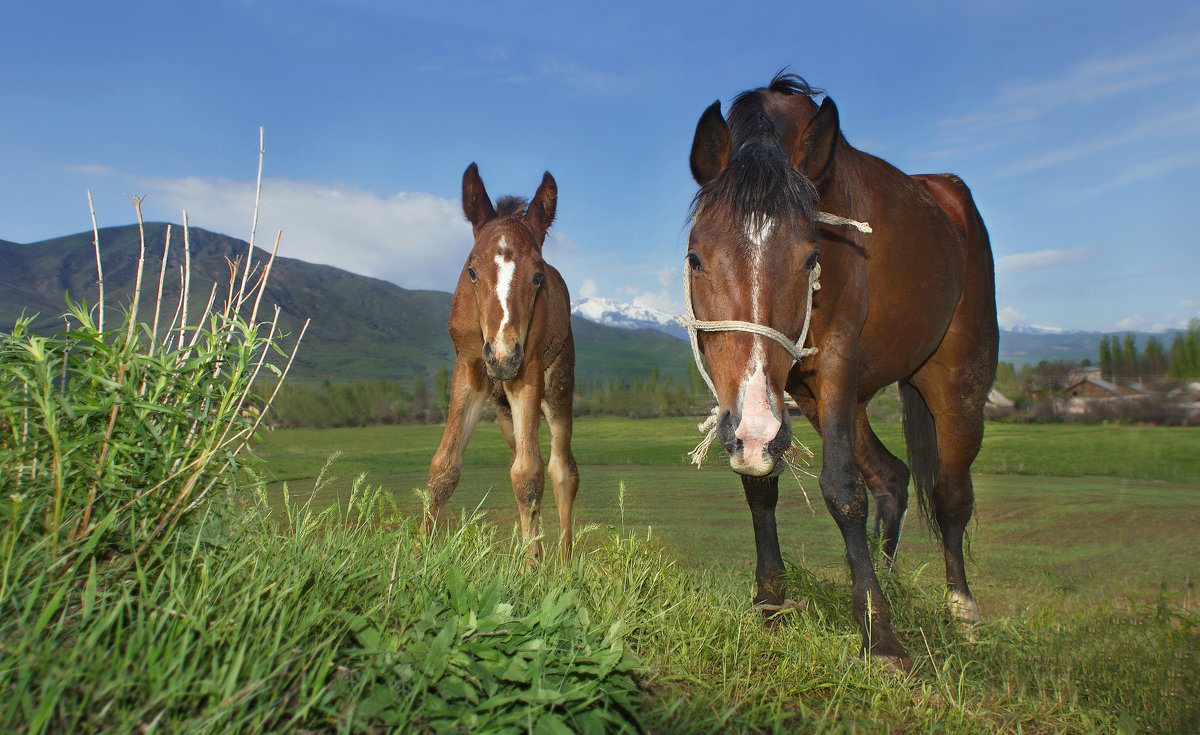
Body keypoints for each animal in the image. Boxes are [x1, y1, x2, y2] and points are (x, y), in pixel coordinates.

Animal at [424, 163, 578, 559]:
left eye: (538, 276)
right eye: (472, 272)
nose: (503, 355)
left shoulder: (529, 370)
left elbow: (529, 476)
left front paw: (533, 568)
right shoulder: (469, 368)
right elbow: (444, 466)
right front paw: (417, 552)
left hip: (558, 385)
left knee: (562, 469)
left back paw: (565, 563)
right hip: (503, 406)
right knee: (521, 457)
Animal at [681, 75, 998, 672]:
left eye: (811, 258)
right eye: (695, 258)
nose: (754, 430)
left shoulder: (833, 365)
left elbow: (842, 490)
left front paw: (879, 633)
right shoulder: (764, 402)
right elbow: (759, 485)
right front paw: (771, 603)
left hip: (957, 384)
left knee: (950, 494)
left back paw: (963, 613)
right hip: (830, 400)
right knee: (893, 477)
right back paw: (889, 580)